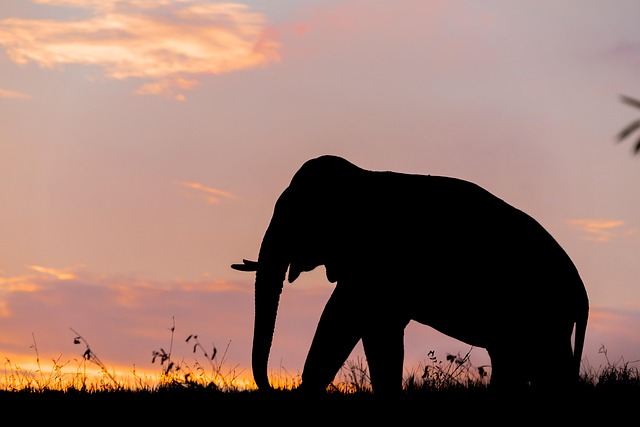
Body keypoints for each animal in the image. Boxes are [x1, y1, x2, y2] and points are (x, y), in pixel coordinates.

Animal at [232, 155, 589, 395]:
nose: (270, 387)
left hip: (543, 313)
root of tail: (581, 294)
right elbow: (368, 327)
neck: (361, 178)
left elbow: (347, 318)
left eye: (296, 219)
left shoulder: (380, 261)